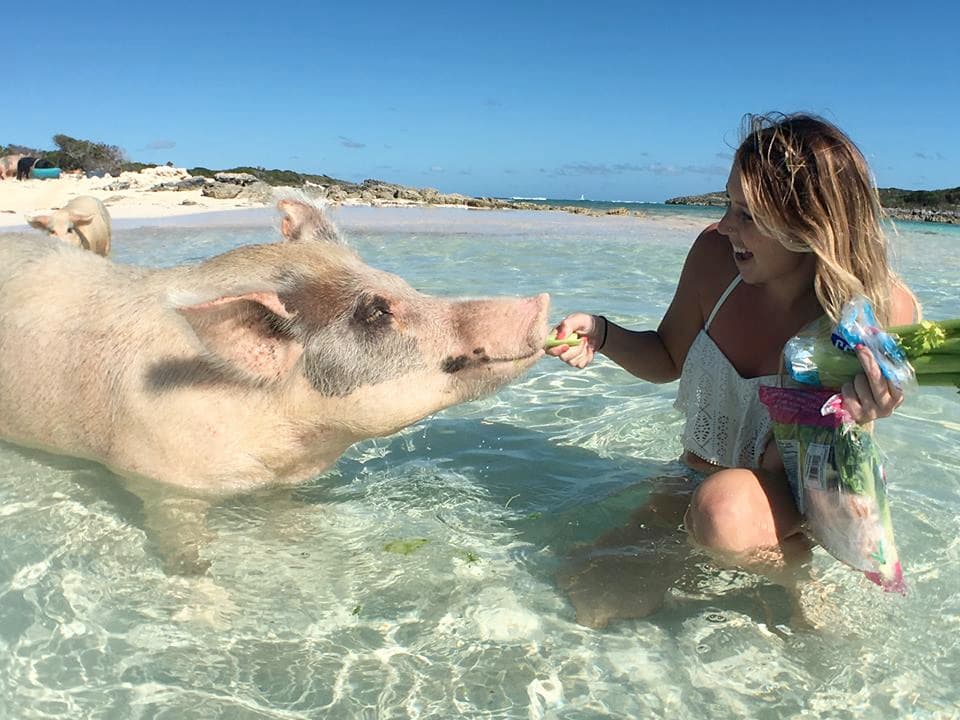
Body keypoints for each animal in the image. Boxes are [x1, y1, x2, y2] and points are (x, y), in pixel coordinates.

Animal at [0, 198, 549, 571]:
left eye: (400, 283)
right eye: (375, 312)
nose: (540, 301)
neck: (291, 447)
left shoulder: (278, 485)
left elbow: (284, 522)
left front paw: (300, 544)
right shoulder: (158, 481)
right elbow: (188, 558)